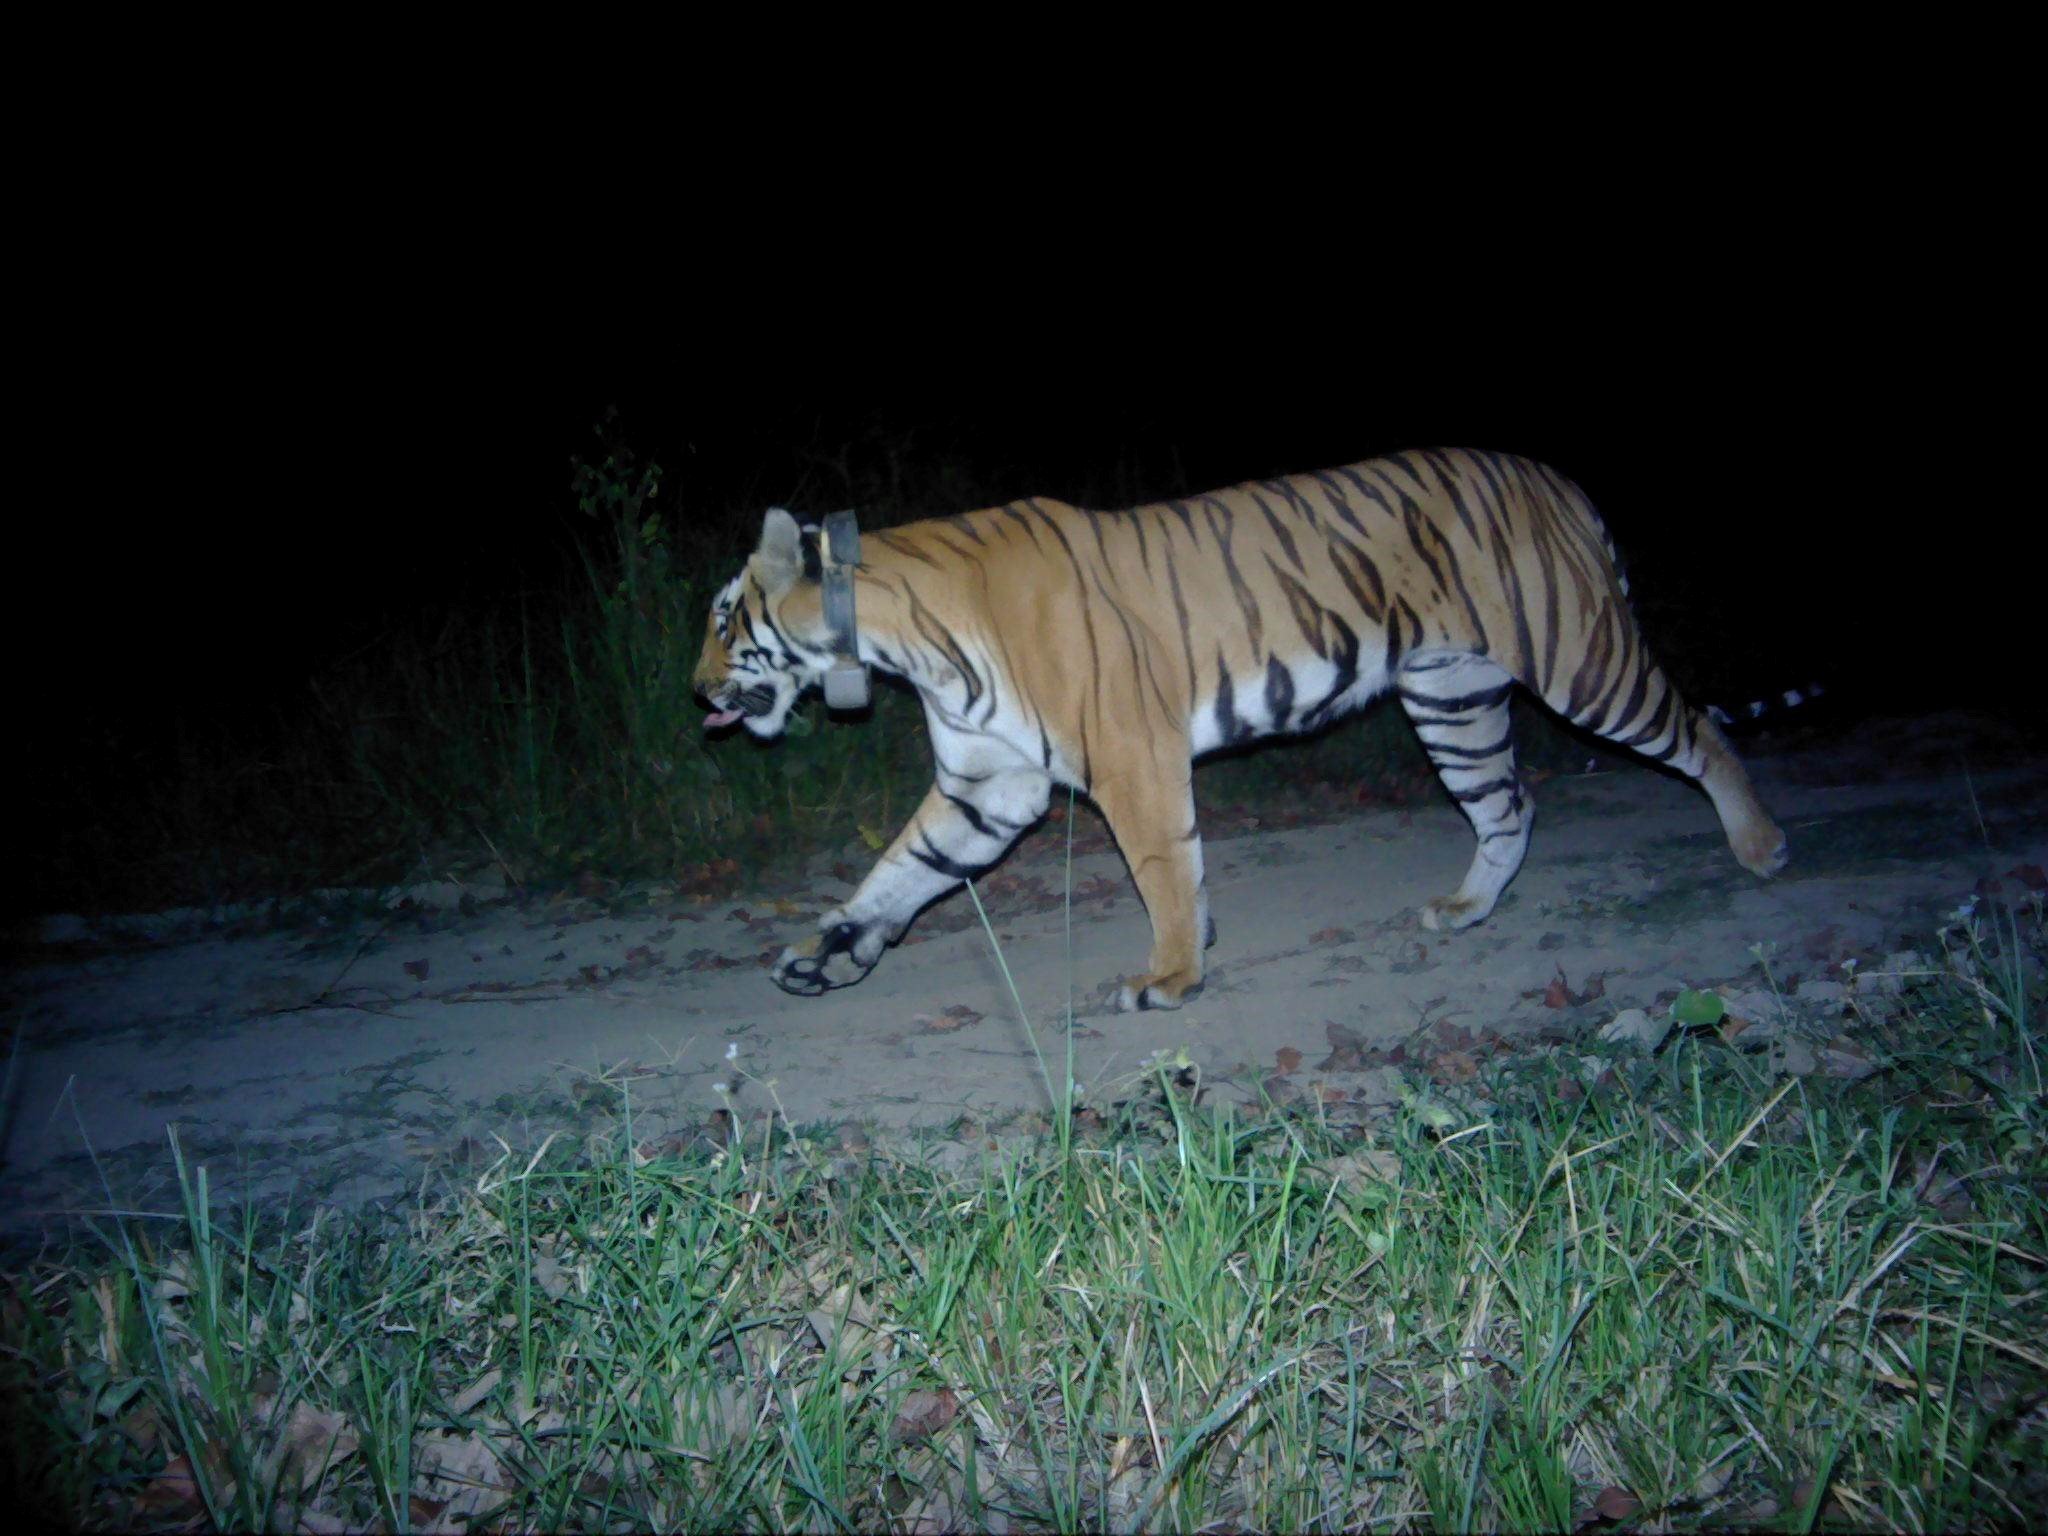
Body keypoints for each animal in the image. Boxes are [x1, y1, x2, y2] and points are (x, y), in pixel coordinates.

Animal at [696, 450, 1785, 1015]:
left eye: (721, 618)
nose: (693, 690)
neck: (897, 639)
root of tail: (1560, 480)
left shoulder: (1129, 757)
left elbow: (1162, 866)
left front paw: (1171, 975)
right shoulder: (987, 785)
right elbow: (904, 867)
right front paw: (830, 949)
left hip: (1580, 660)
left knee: (1696, 730)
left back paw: (1761, 847)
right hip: (1453, 698)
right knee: (1507, 805)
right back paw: (1465, 909)